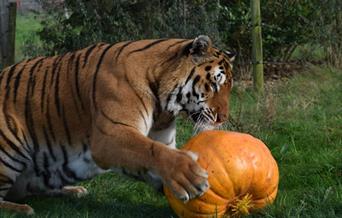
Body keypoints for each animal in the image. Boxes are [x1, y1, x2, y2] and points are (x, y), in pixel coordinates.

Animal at [0, 35, 235, 214]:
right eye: (215, 83)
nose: (223, 117)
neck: (165, 107)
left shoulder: (162, 138)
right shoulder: (109, 135)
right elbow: (152, 151)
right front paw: (190, 176)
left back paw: (74, 191)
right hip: (10, 142)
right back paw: (23, 209)